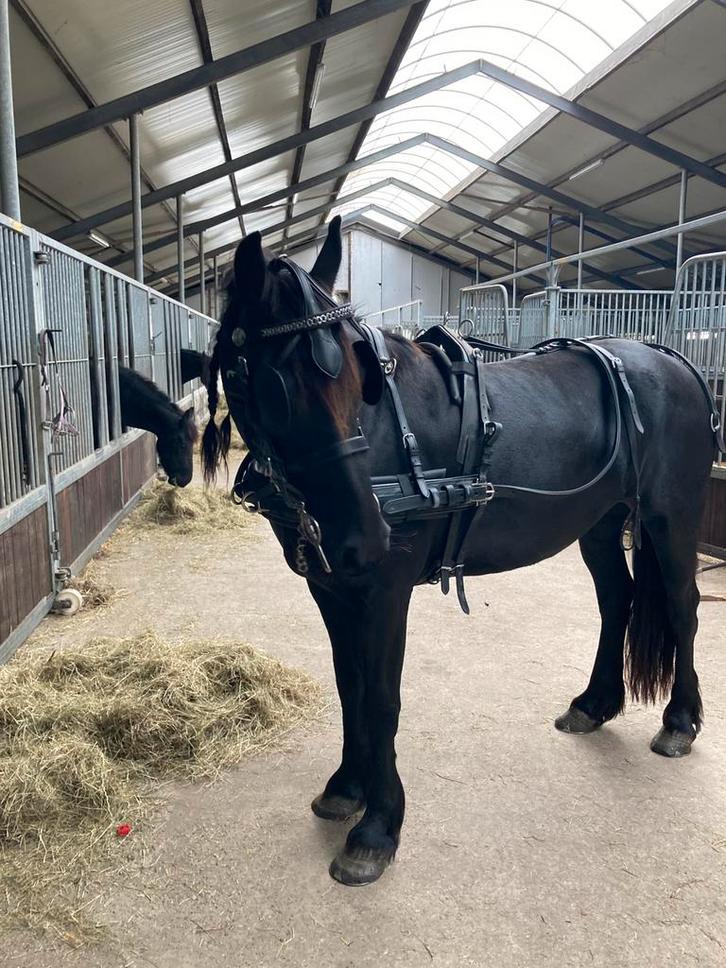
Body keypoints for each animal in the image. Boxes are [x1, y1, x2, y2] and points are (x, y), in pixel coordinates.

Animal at [201, 217, 721, 887]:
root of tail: (668, 359)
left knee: (683, 608)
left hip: (669, 517)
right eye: (273, 383)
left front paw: (378, 826)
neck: (387, 437)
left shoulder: (384, 591)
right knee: (619, 602)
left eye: (356, 378)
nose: (366, 536)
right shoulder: (333, 587)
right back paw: (595, 703)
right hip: (603, 523)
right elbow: (349, 685)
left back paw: (679, 721)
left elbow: (381, 696)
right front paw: (346, 788)